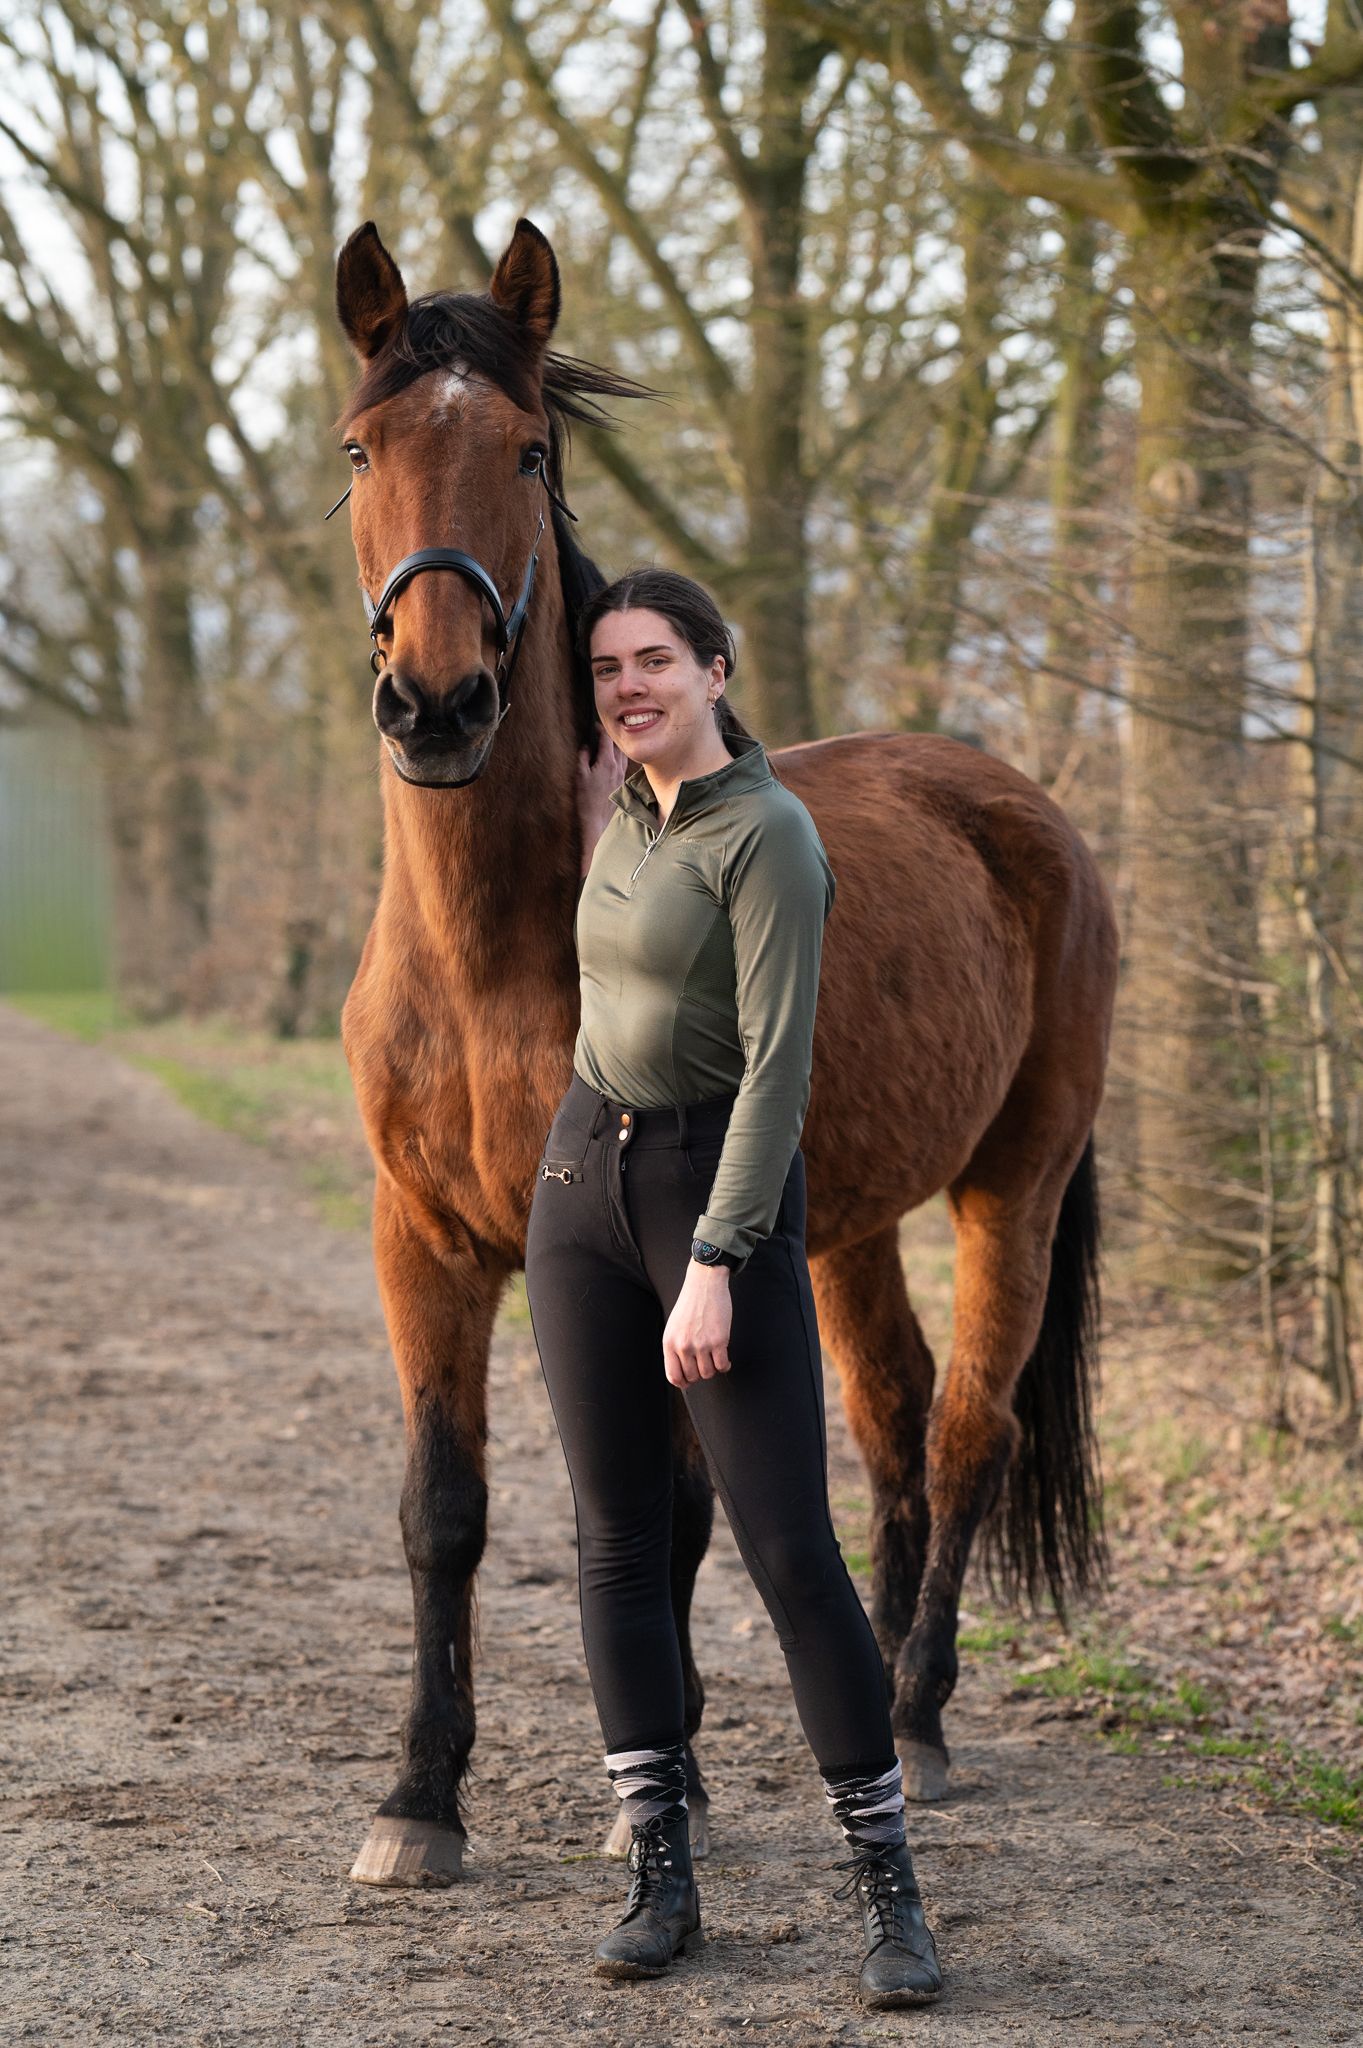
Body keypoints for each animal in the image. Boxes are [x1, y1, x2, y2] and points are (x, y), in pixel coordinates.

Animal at [332, 215, 1119, 1888]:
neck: (499, 957)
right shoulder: (418, 1242)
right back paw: (880, 1686)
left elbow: (673, 1512)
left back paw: (919, 1716)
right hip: (845, 1225)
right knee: (890, 1419)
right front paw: (419, 1797)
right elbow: (444, 1511)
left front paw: (673, 1780)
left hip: (1010, 1187)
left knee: (967, 1426)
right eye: (362, 449)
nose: (437, 704)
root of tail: (1022, 809)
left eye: (524, 447)